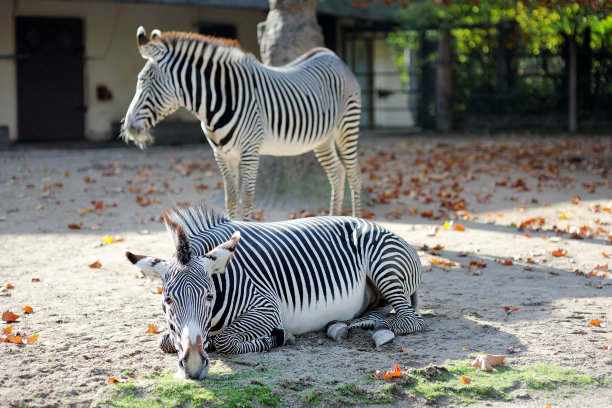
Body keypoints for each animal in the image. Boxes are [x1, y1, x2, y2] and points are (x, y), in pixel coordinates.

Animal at [122, 27, 360, 220]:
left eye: (144, 80)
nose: (128, 128)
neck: (216, 103)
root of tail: (332, 55)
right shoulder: (222, 154)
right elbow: (231, 198)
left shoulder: (250, 151)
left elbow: (247, 198)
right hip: (323, 139)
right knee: (337, 173)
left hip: (346, 127)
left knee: (353, 174)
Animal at [128, 204, 426, 380]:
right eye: (168, 300)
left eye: (209, 297)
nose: (192, 366)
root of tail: (376, 224)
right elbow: (165, 340)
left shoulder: (267, 309)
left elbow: (225, 341)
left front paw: (276, 338)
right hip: (374, 294)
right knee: (380, 312)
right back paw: (342, 325)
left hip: (384, 265)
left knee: (410, 321)